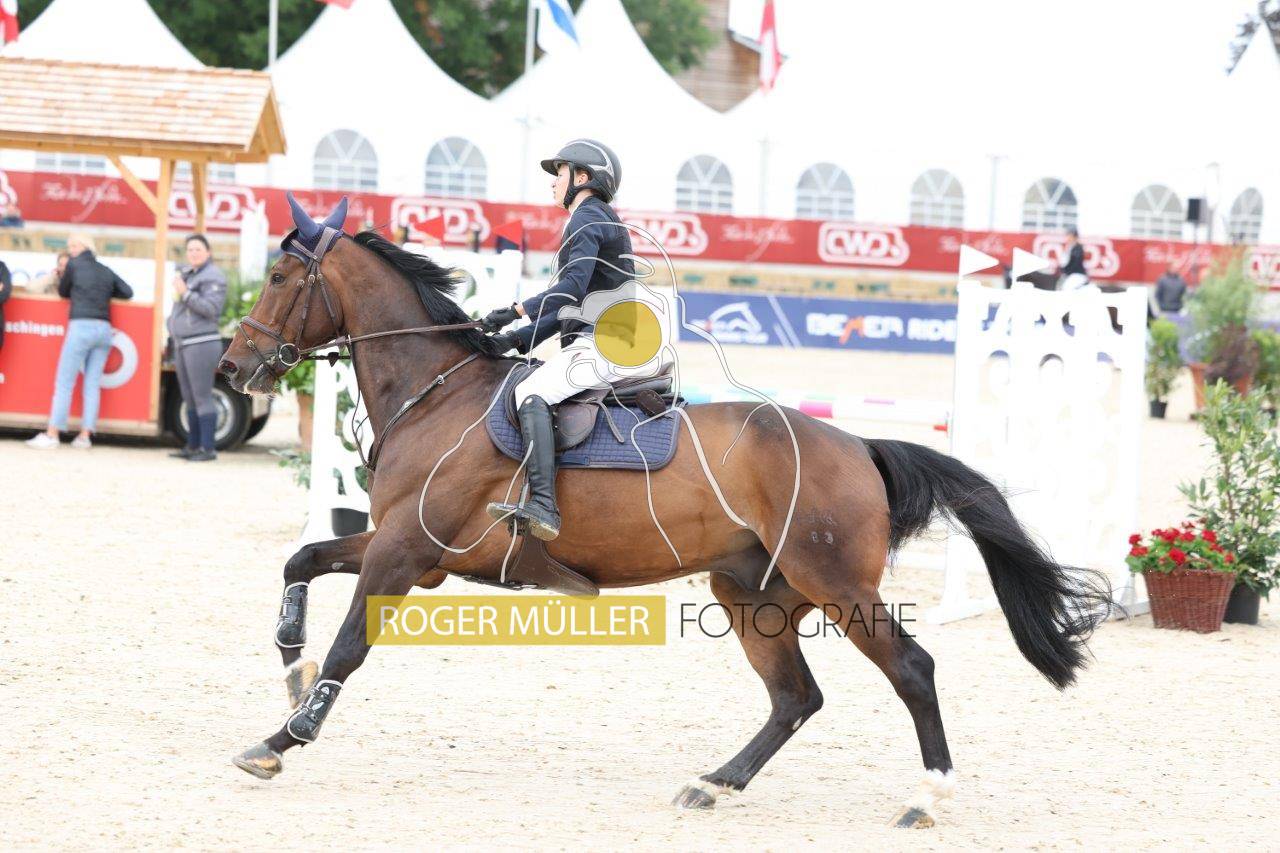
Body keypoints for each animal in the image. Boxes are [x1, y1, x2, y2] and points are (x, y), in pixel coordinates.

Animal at [219, 197, 1110, 828]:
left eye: (279, 280)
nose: (232, 367)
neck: (436, 395)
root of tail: (857, 446)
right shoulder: (415, 551)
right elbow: (302, 562)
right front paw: (290, 662)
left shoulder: (404, 554)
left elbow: (350, 644)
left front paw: (283, 737)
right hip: (752, 593)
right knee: (796, 697)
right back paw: (713, 782)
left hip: (835, 585)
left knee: (911, 669)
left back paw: (928, 796)